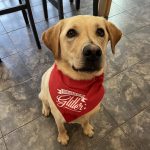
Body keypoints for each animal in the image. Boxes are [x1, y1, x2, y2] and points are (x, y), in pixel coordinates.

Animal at [39, 15, 122, 145]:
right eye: (71, 33)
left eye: (100, 32)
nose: (93, 52)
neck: (80, 83)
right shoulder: (58, 116)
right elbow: (61, 128)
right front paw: (63, 137)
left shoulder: (89, 113)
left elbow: (86, 120)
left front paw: (87, 129)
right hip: (43, 92)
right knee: (43, 101)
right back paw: (45, 109)